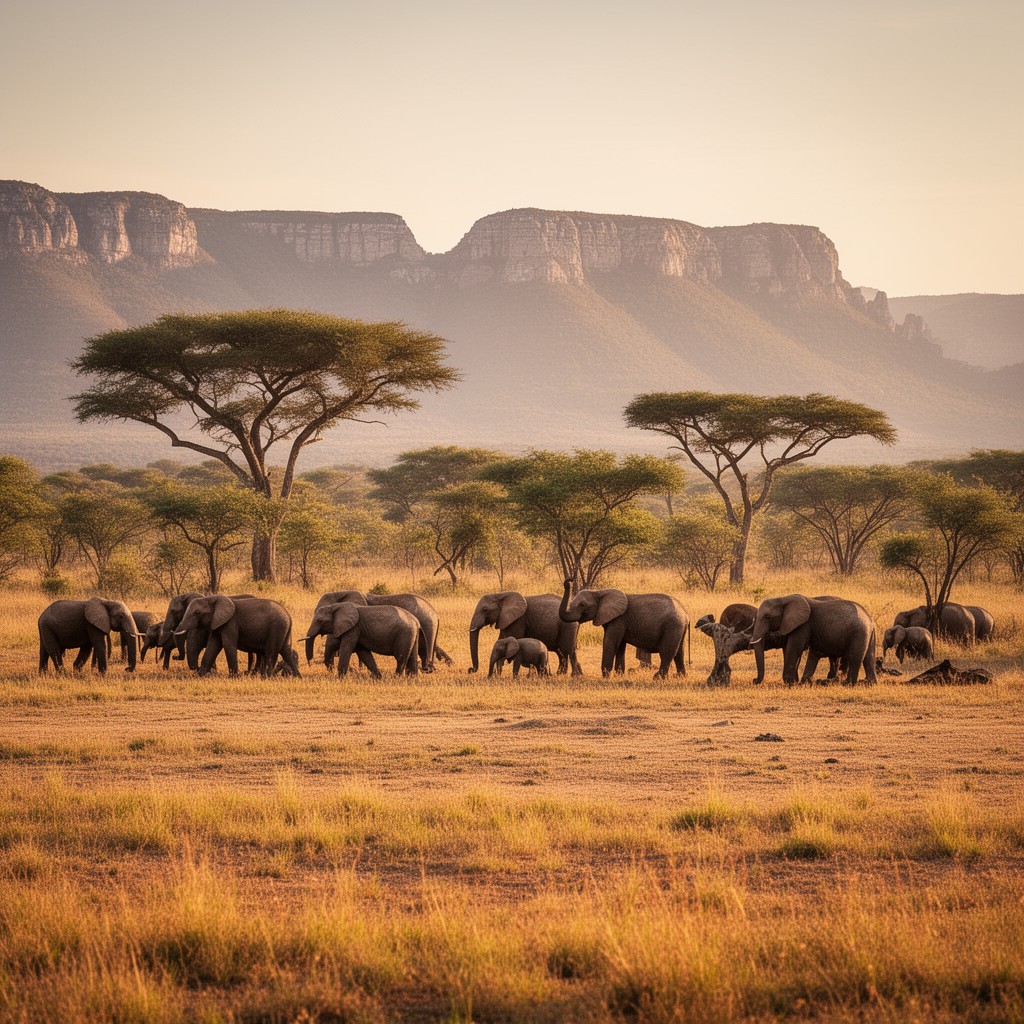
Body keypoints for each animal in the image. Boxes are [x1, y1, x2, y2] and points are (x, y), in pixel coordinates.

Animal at [308, 591, 445, 672]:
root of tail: (435, 614)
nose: (310, 664)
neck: (341, 592)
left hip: (426, 623)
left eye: (320, 620)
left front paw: (359, 670)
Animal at [559, 579, 688, 679]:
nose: (569, 580)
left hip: (672, 626)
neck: (599, 592)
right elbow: (620, 646)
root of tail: (685, 615)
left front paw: (605, 676)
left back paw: (658, 678)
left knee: (667, 653)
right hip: (678, 628)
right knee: (679, 653)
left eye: (582, 605)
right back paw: (680, 677)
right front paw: (619, 675)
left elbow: (610, 642)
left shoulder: (618, 619)